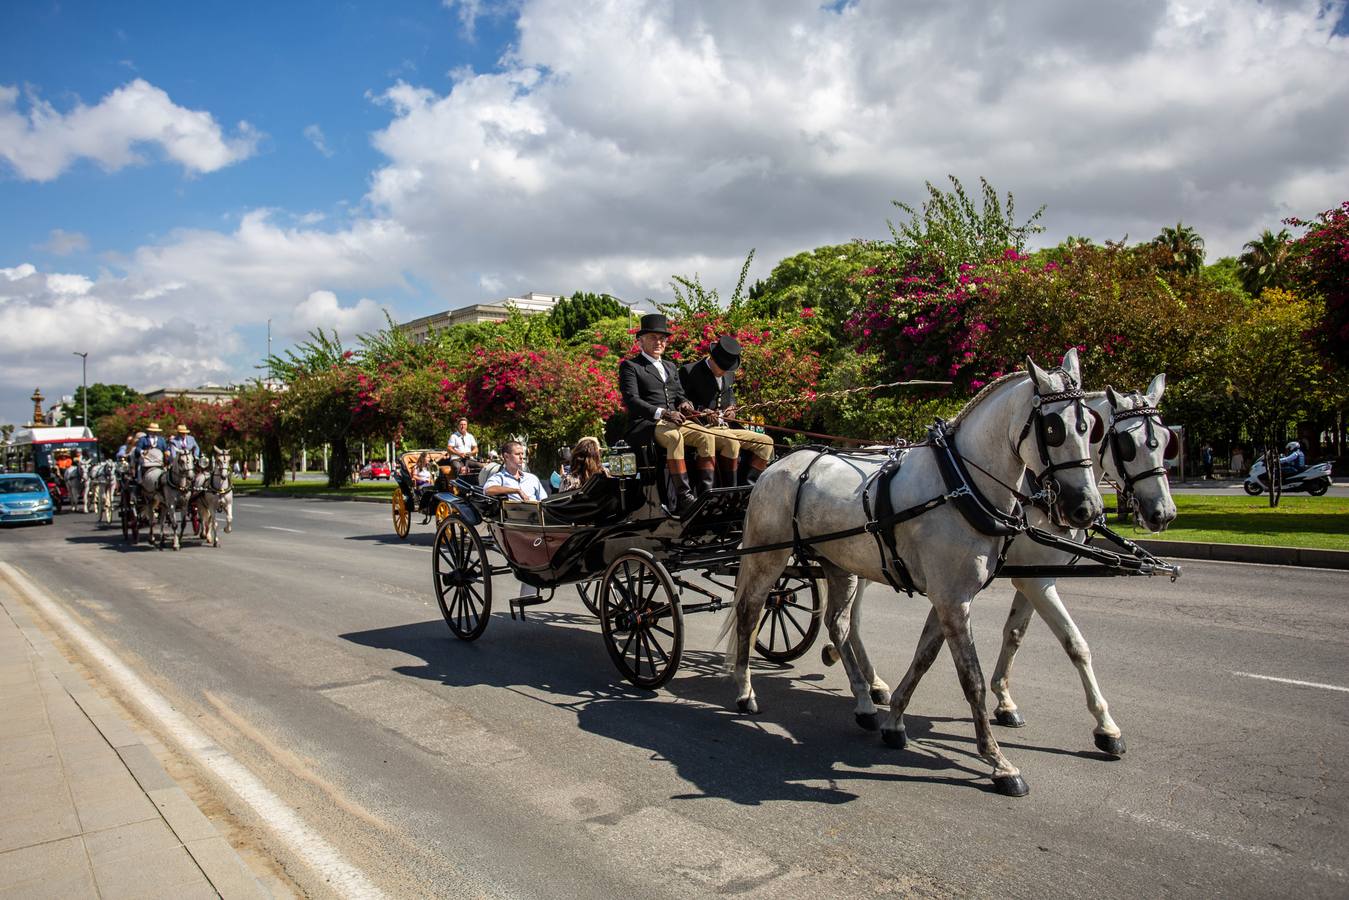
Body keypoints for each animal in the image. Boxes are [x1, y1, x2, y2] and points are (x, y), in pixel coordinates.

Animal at [728, 350, 1106, 793]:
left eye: (1089, 427)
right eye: (1053, 428)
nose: (1086, 508)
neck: (961, 484)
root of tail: (779, 464)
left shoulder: (949, 596)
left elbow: (924, 656)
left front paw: (893, 722)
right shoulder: (953, 599)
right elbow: (972, 679)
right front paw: (998, 762)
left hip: (839, 564)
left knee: (838, 624)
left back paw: (863, 700)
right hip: (767, 556)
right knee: (750, 612)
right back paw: (745, 691)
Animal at [987, 372, 1176, 755]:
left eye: (1166, 441)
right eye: (1127, 445)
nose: (1163, 513)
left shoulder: (1035, 577)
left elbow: (1014, 633)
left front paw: (1004, 700)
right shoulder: (1035, 581)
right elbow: (1076, 644)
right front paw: (1106, 726)